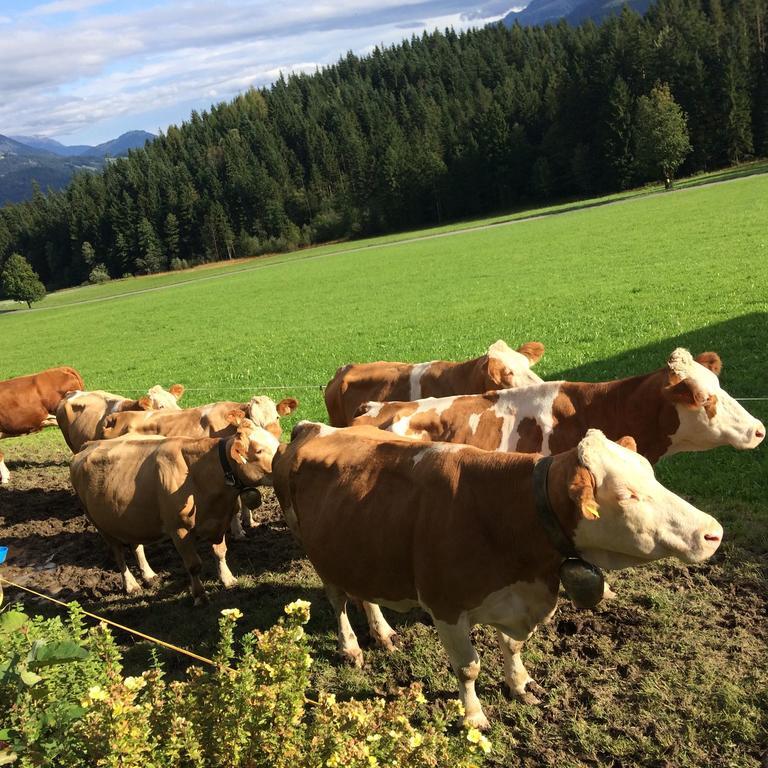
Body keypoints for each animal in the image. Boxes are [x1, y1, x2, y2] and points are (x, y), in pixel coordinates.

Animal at [70, 416, 278, 604]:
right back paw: (131, 584)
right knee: (118, 554)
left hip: (129, 519)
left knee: (136, 546)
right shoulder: (179, 530)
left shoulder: (218, 520)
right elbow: (194, 565)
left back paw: (149, 574)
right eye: (259, 450)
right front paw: (200, 596)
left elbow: (220, 553)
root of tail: (88, 445)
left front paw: (228, 579)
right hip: (100, 524)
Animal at [272, 424, 724, 728]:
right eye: (627, 495)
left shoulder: (520, 600)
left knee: (364, 593)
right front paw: (473, 717)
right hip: (317, 552)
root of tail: (312, 427)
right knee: (337, 601)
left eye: (652, 476)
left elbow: (514, 646)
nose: (712, 532)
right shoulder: (446, 606)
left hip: (359, 549)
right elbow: (468, 667)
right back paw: (351, 646)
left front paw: (520, 684)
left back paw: (382, 633)